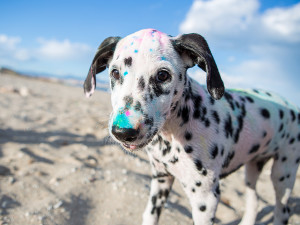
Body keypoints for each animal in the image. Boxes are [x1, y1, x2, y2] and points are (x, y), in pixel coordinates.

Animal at [84, 28, 300, 225]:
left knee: (282, 211)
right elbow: (150, 215)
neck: (174, 131)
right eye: (115, 72)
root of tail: (290, 104)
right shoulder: (161, 179)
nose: (123, 132)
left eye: (163, 75)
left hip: (283, 174)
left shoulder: (205, 199)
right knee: (253, 200)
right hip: (252, 169)